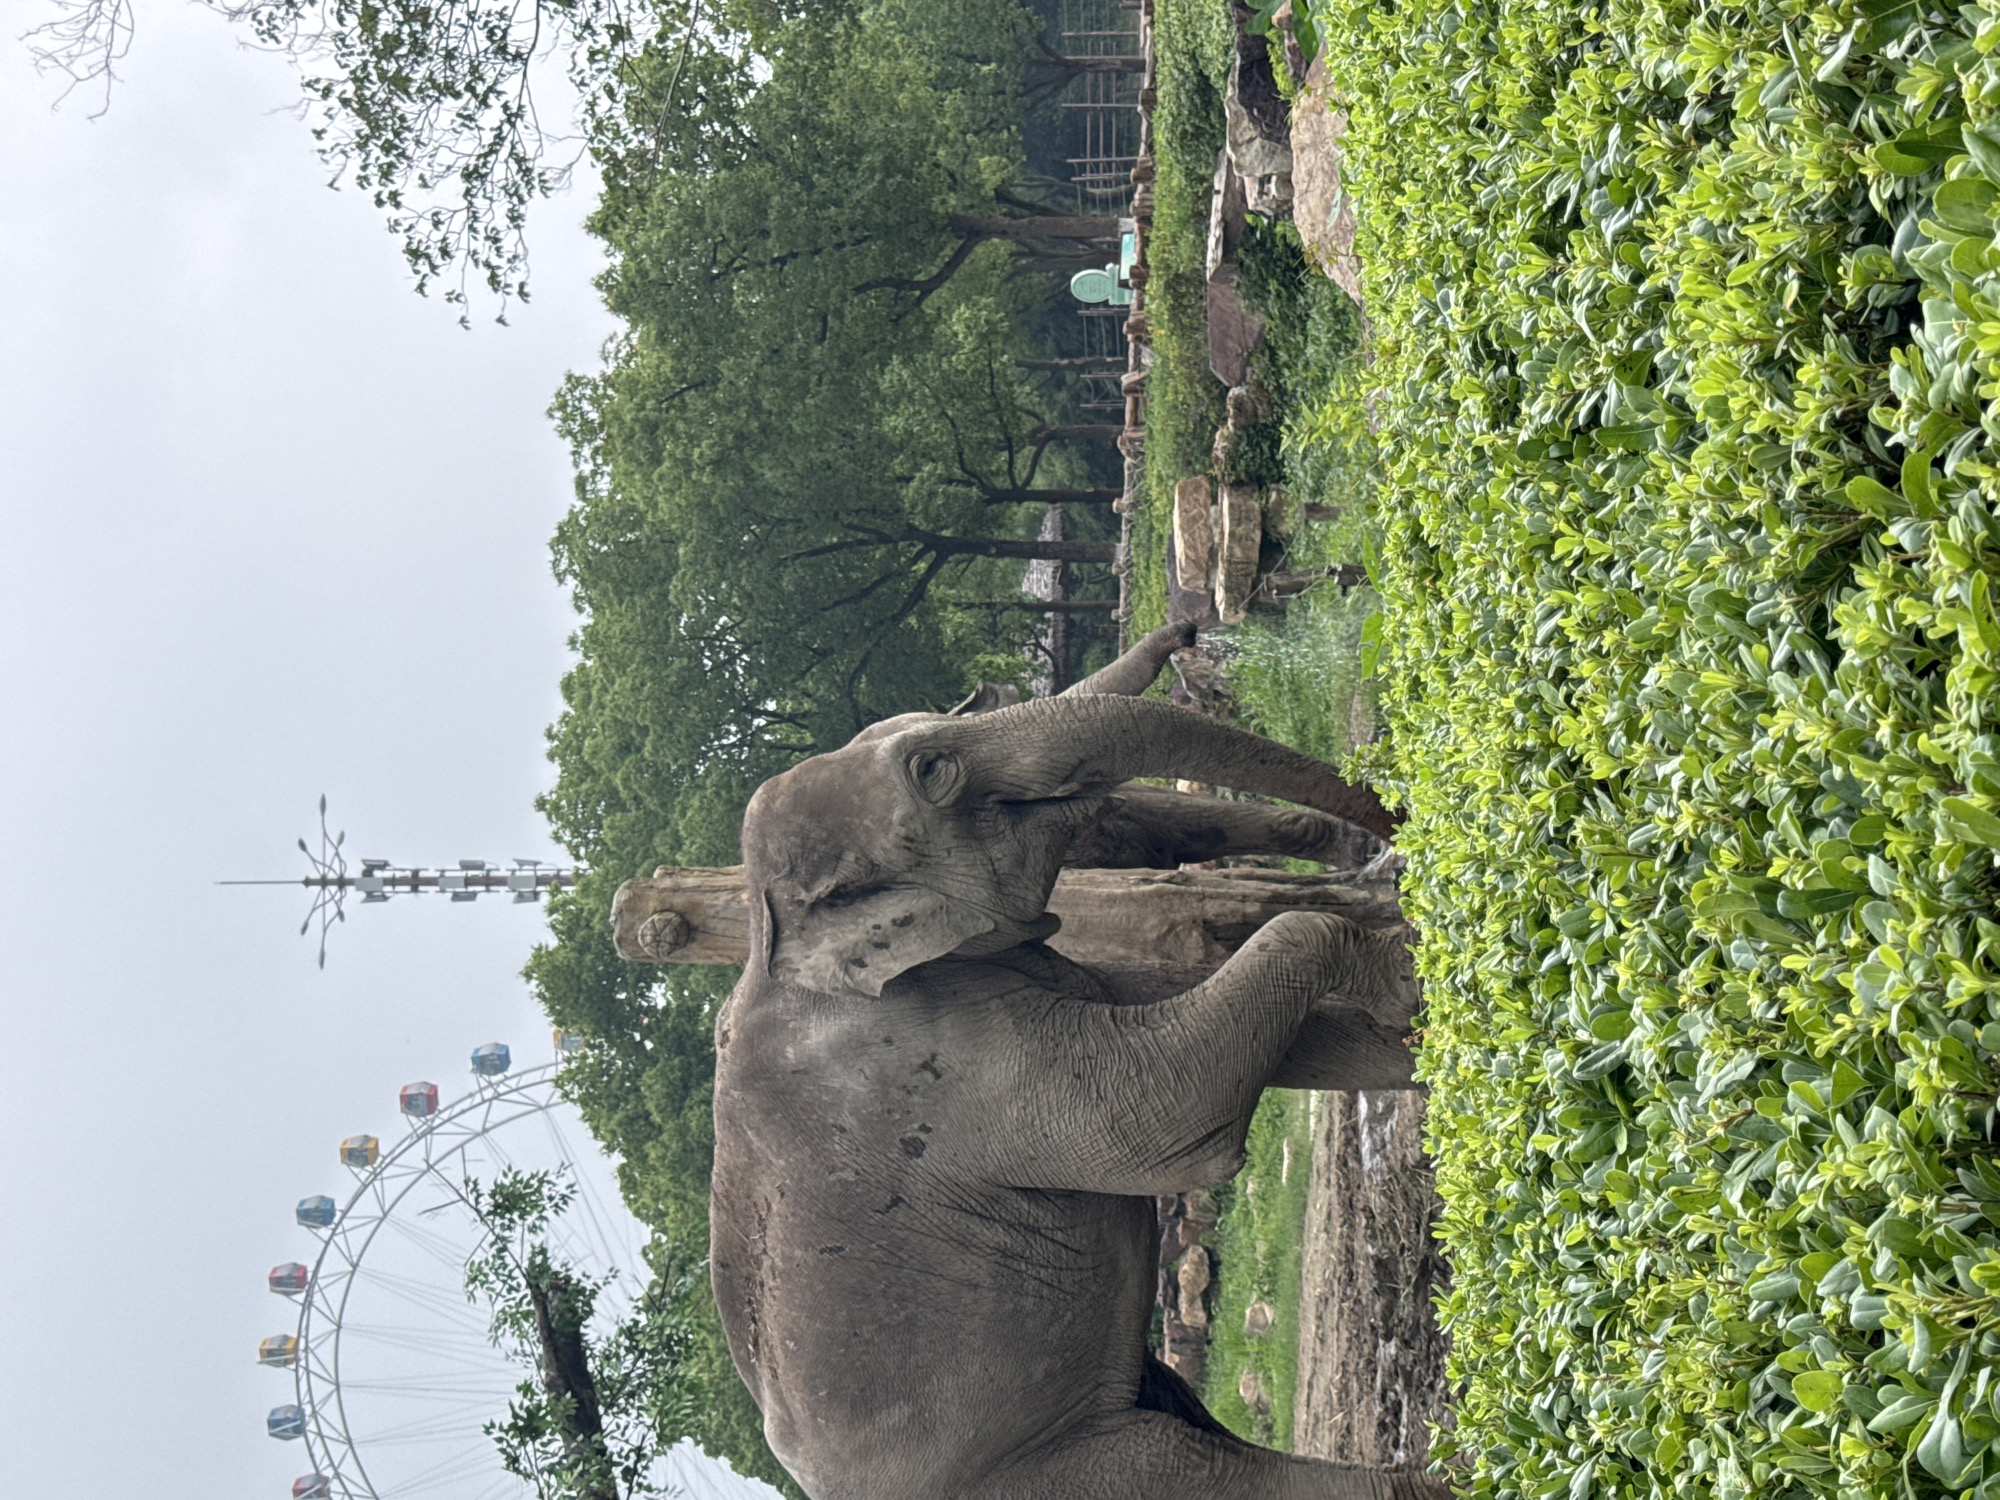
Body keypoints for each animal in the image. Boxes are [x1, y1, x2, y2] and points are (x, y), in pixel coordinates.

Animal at [708, 622, 1447, 1500]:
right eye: (935, 769)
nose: (1395, 826)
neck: (770, 936)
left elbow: (1300, 1048)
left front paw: (1428, 1015)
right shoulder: (919, 1074)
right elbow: (1171, 1118)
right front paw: (1411, 973)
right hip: (1048, 1470)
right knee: (1193, 1469)